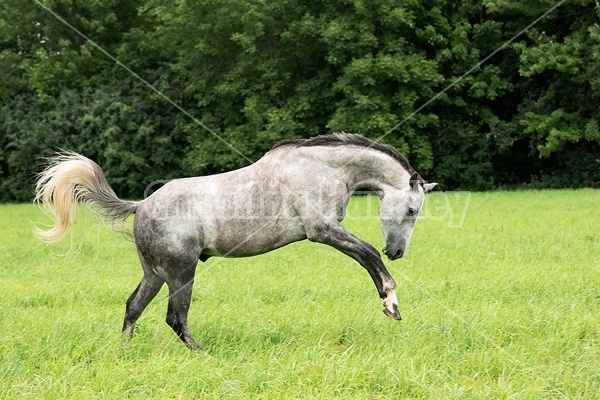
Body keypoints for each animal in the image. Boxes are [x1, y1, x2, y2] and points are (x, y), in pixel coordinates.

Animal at [36, 133, 436, 348]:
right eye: (412, 209)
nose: (397, 252)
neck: (322, 168)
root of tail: (141, 206)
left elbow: (367, 258)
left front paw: (390, 303)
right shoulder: (322, 230)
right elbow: (368, 256)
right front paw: (391, 304)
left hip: (155, 273)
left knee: (134, 307)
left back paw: (124, 353)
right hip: (181, 272)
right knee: (175, 317)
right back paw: (204, 355)